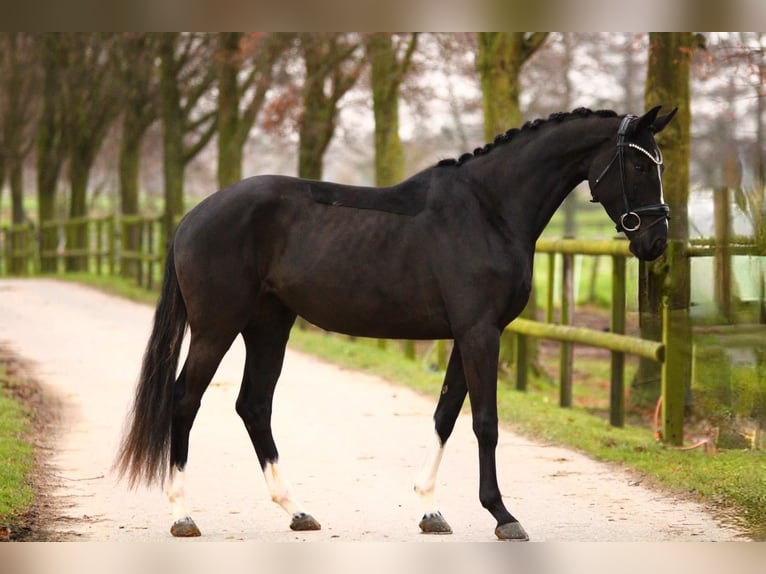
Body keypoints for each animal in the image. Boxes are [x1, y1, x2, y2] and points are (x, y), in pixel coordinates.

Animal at [115, 106, 680, 544]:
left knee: (253, 404)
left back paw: (297, 511)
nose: (655, 241)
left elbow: (446, 415)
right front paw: (503, 516)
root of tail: (193, 217)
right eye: (636, 161)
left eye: (659, 162)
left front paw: (430, 510)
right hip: (217, 327)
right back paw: (182, 516)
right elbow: (485, 422)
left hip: (269, 324)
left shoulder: (469, 334)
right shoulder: (480, 333)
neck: (489, 210)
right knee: (185, 399)